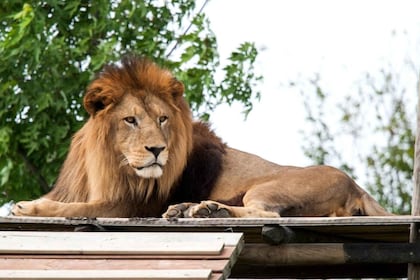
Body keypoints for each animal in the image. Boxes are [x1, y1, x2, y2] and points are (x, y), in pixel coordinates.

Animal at [13, 54, 394, 217]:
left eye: (163, 118)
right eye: (131, 120)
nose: (157, 150)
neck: (107, 165)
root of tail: (357, 187)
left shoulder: (133, 204)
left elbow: (76, 208)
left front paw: (28, 205)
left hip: (267, 187)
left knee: (267, 215)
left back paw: (207, 211)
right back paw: (195, 209)